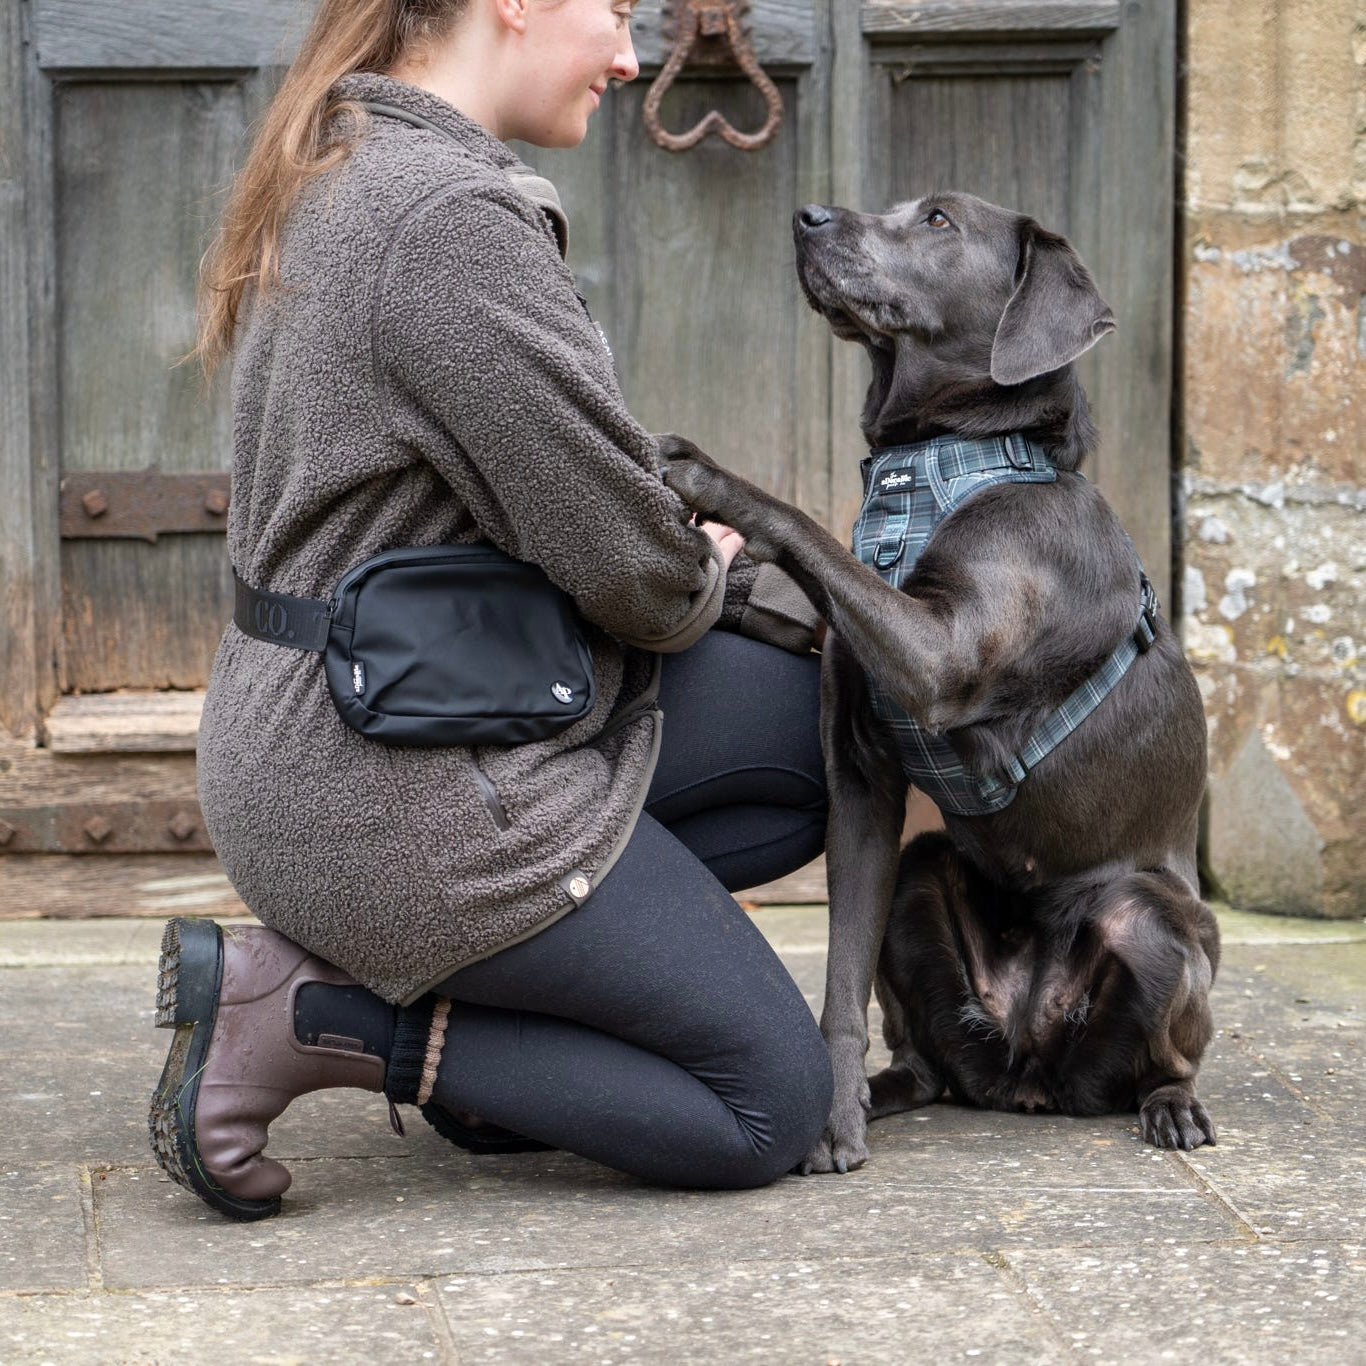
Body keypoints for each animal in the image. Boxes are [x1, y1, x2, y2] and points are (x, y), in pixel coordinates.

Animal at [661, 195, 1218, 1174]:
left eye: (937, 220)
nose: (806, 216)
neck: (944, 465)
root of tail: (1027, 1072)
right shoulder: (861, 775)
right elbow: (840, 973)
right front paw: (832, 1118)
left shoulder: (937, 658)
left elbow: (810, 528)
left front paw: (713, 478)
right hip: (920, 877)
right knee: (924, 1059)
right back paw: (887, 1092)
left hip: (1154, 922)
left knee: (1167, 1051)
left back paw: (1174, 1107)